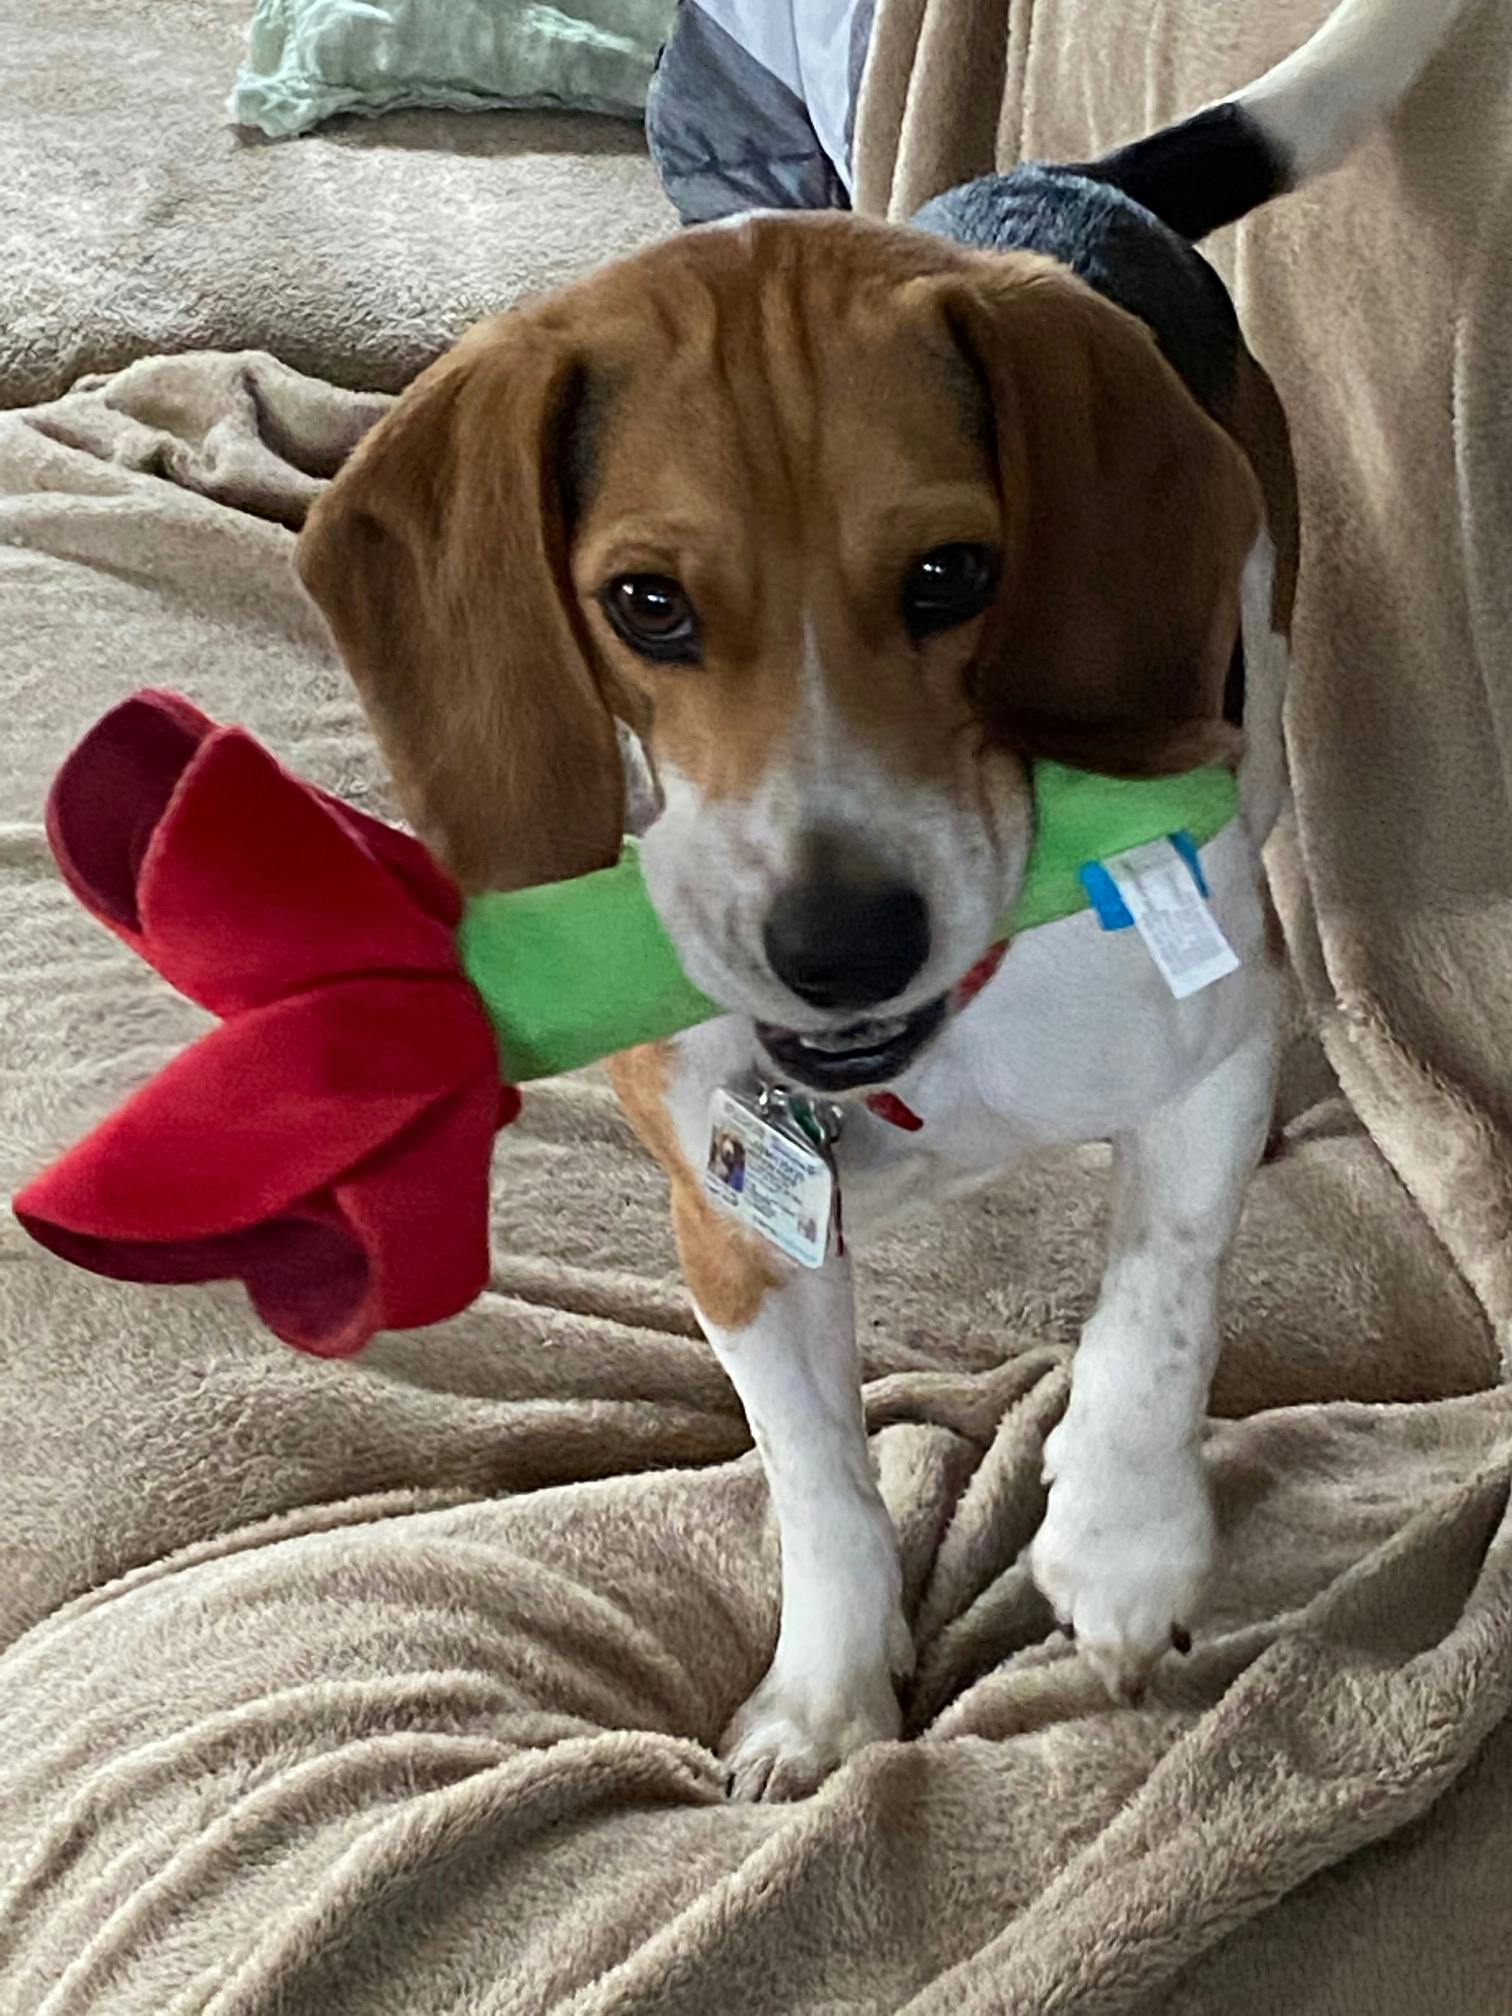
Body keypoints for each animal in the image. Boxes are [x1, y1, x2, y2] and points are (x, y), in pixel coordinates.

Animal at [298, 0, 1483, 1798]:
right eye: (645, 604)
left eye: (953, 576)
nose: (840, 946)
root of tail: (1067, 183)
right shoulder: (728, 1225)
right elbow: (817, 1479)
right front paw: (829, 1693)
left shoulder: (1195, 1048)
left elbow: (1160, 1294)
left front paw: (1121, 1541)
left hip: (1262, 673)